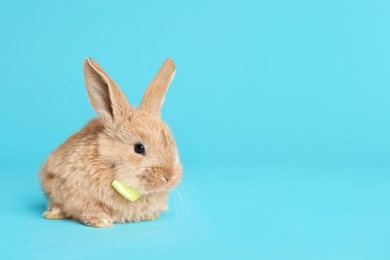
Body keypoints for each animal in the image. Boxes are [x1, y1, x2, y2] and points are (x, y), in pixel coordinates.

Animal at [38, 57, 182, 228]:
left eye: (171, 142)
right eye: (139, 148)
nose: (170, 176)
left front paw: (151, 215)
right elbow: (90, 208)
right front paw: (101, 221)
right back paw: (52, 214)